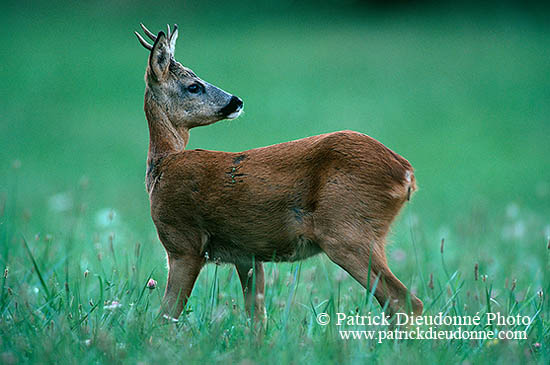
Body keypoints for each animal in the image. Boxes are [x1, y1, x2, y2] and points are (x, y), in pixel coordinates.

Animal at [136, 23, 424, 322]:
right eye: (193, 86)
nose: (236, 101)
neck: (163, 165)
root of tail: (406, 173)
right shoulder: (246, 255)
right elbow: (256, 318)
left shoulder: (183, 242)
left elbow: (167, 315)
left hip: (347, 231)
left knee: (403, 301)